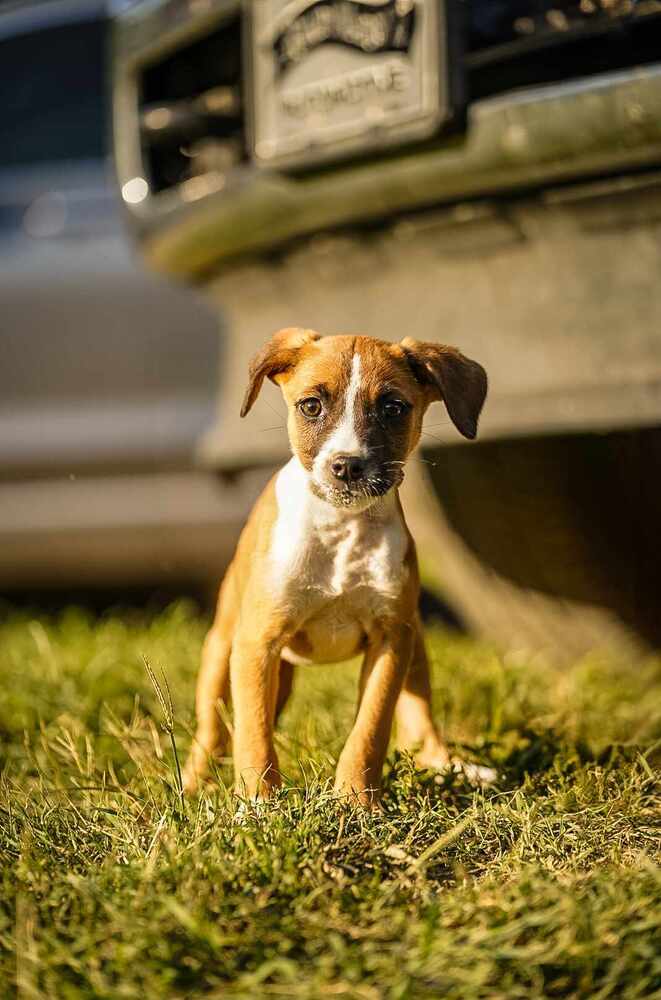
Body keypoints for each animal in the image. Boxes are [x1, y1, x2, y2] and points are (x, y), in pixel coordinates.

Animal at [183, 328, 488, 804]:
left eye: (393, 408)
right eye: (311, 406)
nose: (347, 466)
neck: (340, 530)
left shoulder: (391, 642)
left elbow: (370, 730)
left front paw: (357, 800)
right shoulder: (257, 643)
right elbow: (253, 733)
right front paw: (258, 804)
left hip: (416, 645)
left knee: (419, 719)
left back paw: (446, 768)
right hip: (222, 649)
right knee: (213, 730)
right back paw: (195, 785)